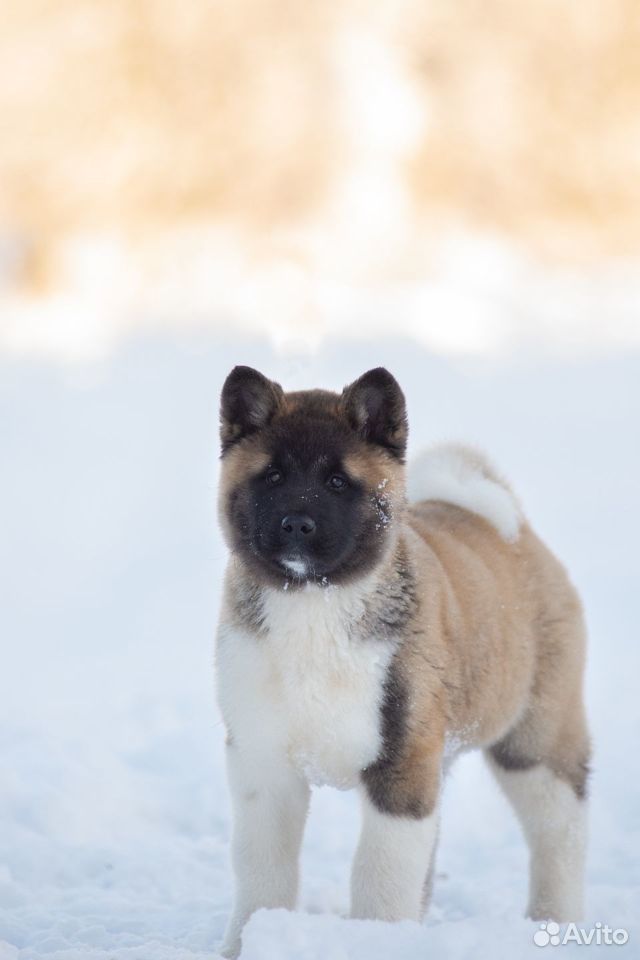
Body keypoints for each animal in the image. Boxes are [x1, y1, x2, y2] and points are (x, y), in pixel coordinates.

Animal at [215, 364, 592, 956]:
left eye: (338, 482)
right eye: (271, 476)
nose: (296, 524)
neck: (316, 606)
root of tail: (512, 526)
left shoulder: (401, 765)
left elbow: (381, 875)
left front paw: (376, 940)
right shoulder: (262, 760)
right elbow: (262, 868)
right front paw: (249, 940)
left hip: (535, 739)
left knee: (560, 832)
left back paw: (556, 922)